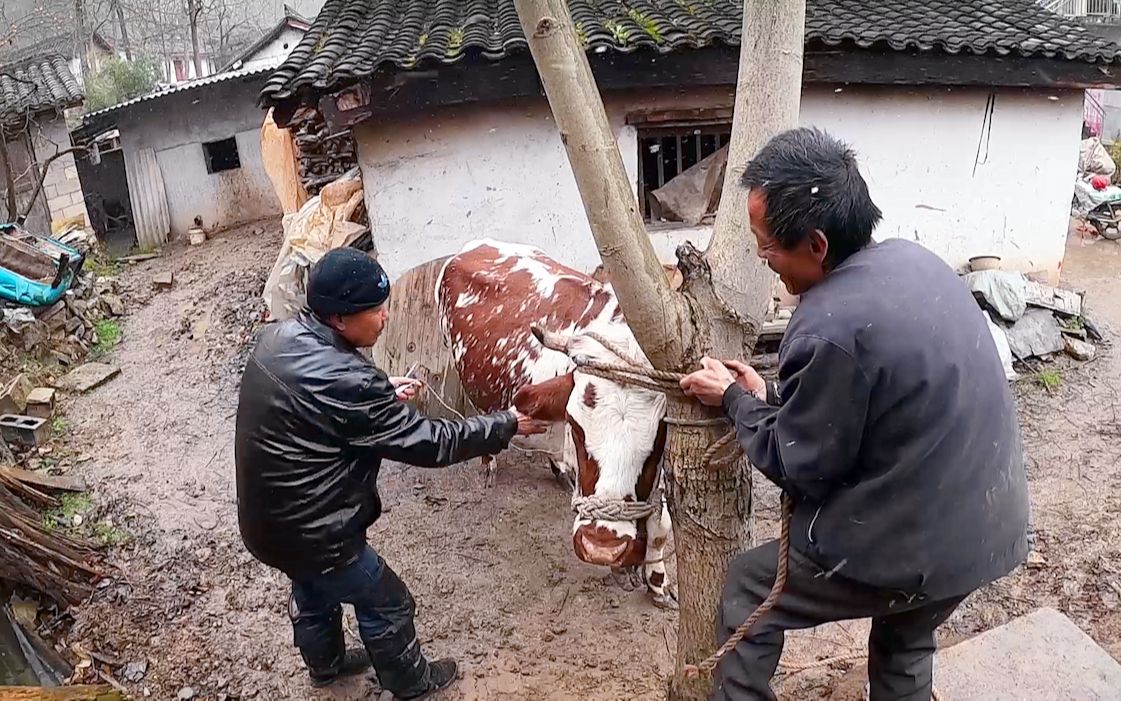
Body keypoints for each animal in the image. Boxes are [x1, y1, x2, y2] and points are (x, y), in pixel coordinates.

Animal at [437, 238, 672, 605]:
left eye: (660, 431)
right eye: (576, 426)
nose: (600, 546)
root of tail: (477, 244)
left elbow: (661, 526)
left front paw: (656, 581)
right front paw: (623, 570)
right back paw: (490, 462)